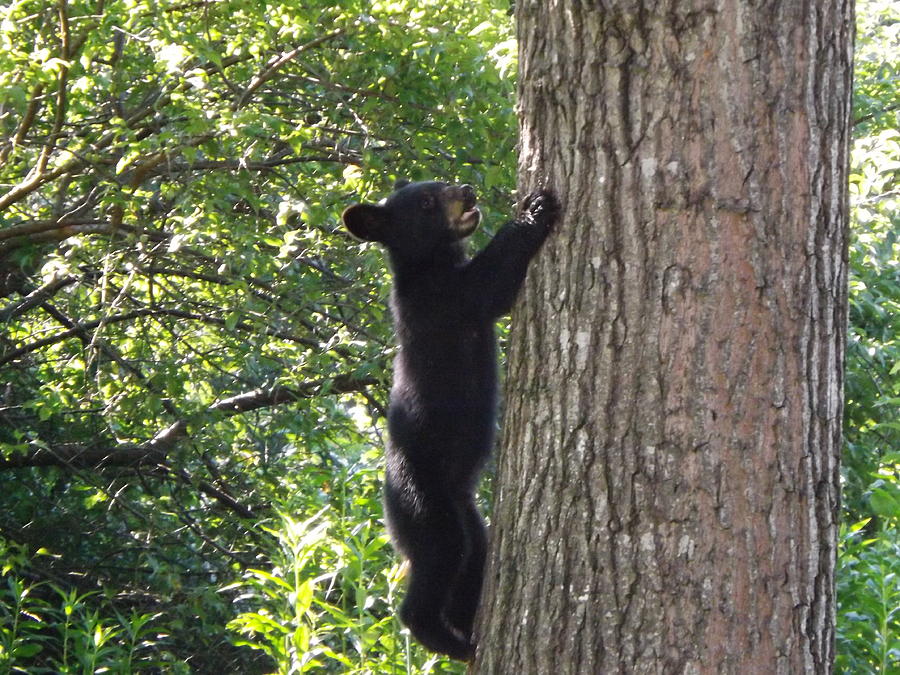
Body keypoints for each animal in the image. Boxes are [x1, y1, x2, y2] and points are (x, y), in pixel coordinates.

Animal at [342, 178, 560, 660]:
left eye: (438, 183)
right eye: (426, 201)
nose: (466, 189)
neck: (430, 265)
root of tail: (389, 506)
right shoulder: (444, 301)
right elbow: (489, 284)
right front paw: (536, 210)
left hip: (466, 512)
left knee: (472, 558)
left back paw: (469, 625)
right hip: (424, 503)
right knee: (439, 559)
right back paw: (447, 639)